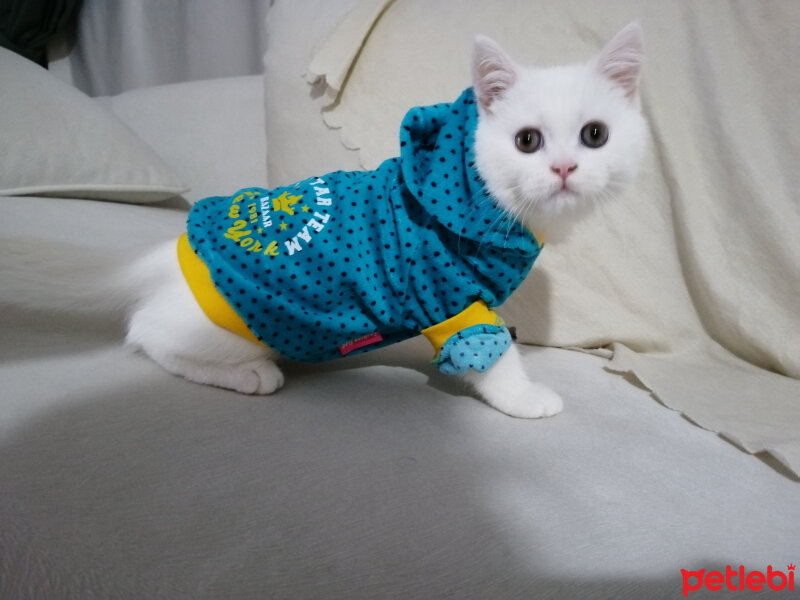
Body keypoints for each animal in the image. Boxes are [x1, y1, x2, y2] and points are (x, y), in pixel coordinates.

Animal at [0, 24, 648, 418]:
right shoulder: (450, 299)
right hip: (237, 324)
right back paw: (250, 375)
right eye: (527, 140)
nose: (564, 167)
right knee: (147, 332)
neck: (479, 199)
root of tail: (173, 251)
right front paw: (526, 397)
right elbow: (492, 356)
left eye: (594, 135)